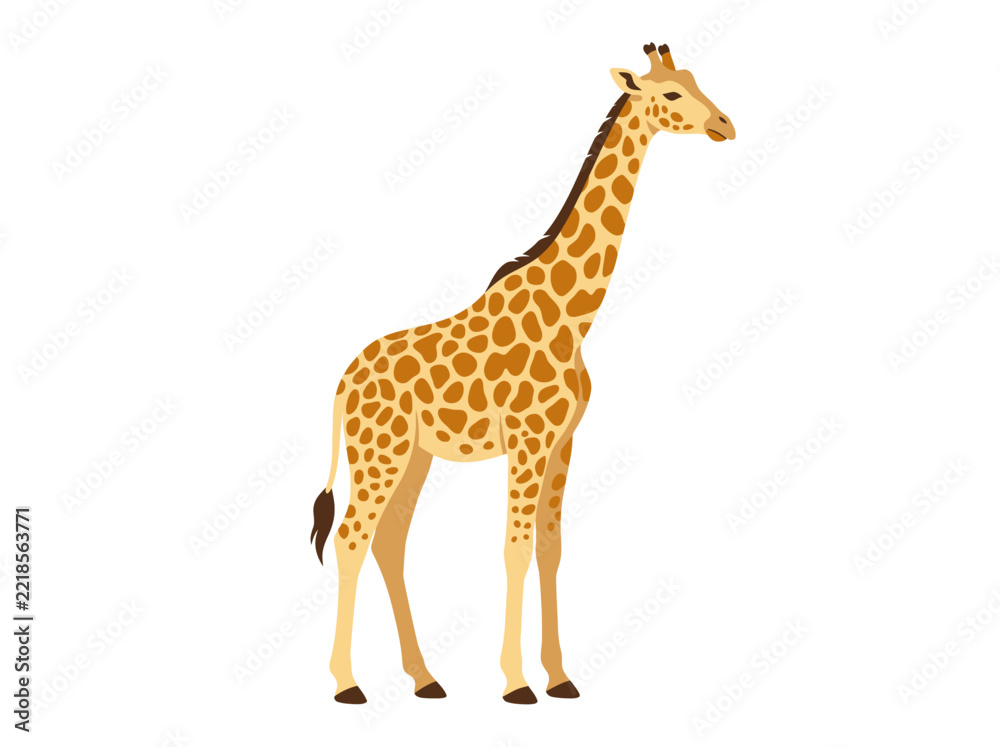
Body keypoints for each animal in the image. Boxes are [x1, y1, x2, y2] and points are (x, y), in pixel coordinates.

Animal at [310, 43, 734, 704]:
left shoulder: (563, 442)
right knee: (352, 538)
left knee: (389, 542)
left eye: (694, 80)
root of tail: (341, 384)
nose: (724, 125)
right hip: (378, 451)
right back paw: (347, 684)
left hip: (414, 454)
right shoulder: (528, 440)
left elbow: (550, 549)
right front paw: (515, 683)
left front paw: (559, 677)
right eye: (669, 93)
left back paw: (425, 679)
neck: (573, 315)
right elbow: (514, 548)